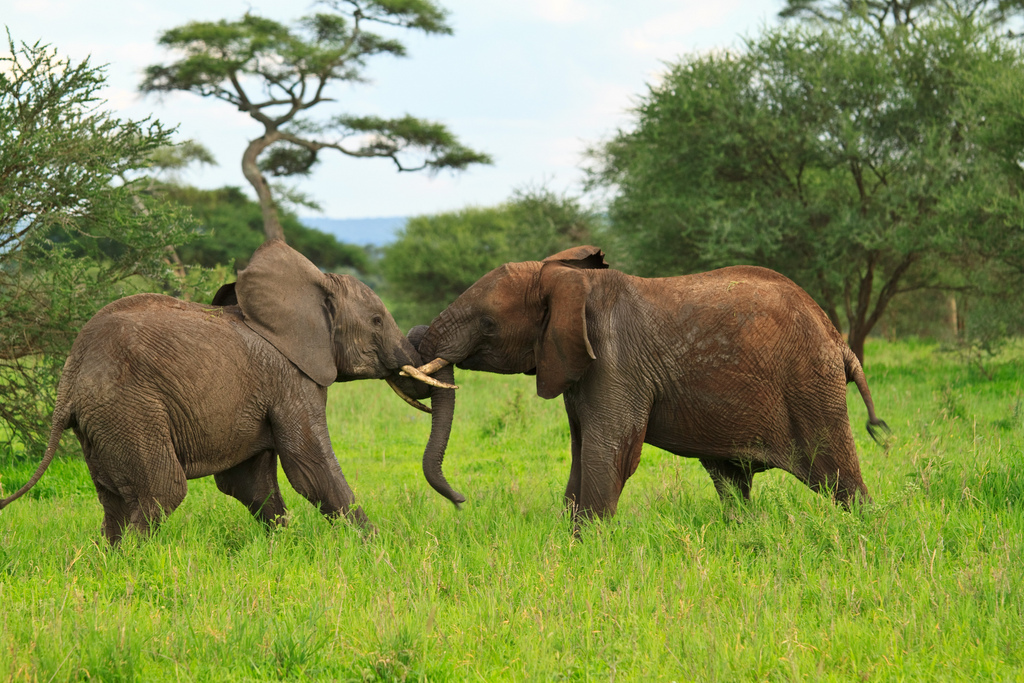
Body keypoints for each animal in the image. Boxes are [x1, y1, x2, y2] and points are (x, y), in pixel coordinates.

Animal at [1, 240, 448, 544]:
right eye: (376, 321)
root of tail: (71, 376)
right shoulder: (290, 379)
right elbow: (310, 467)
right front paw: (377, 548)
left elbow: (250, 482)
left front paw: (280, 548)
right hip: (128, 407)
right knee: (162, 489)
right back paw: (133, 560)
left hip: (100, 422)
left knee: (114, 499)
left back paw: (109, 557)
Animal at [403, 245, 884, 524]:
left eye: (488, 324)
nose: (461, 501)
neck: (568, 280)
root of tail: (840, 342)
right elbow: (582, 451)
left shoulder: (614, 361)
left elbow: (609, 451)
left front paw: (591, 546)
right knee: (731, 481)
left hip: (810, 387)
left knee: (839, 478)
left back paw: (863, 530)